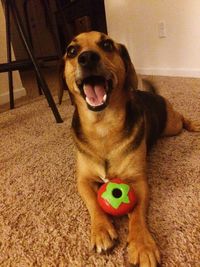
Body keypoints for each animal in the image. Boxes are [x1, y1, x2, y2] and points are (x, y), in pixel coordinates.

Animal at [61, 31, 200, 267]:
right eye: (71, 51)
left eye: (107, 44)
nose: (87, 58)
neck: (103, 127)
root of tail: (151, 94)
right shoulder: (83, 181)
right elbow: (94, 203)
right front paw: (101, 230)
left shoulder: (138, 181)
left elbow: (136, 213)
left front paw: (142, 245)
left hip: (172, 126)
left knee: (181, 118)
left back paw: (194, 124)